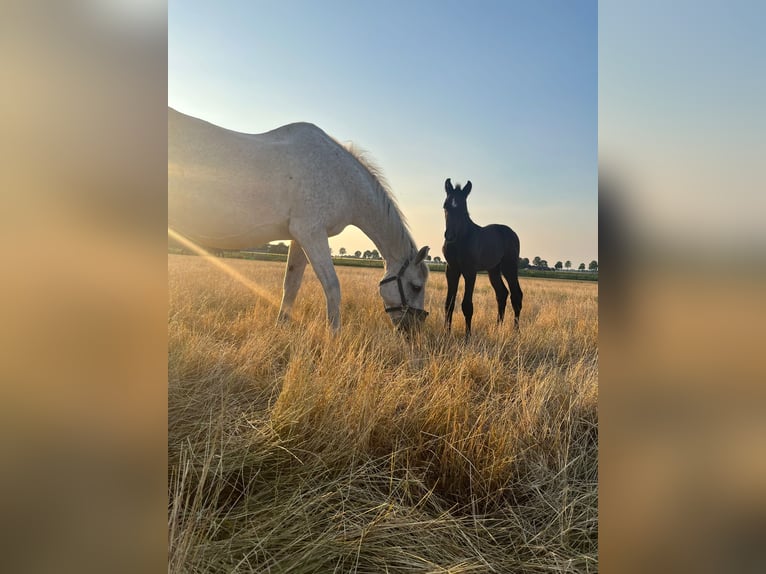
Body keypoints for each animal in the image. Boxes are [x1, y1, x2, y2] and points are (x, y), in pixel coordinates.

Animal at [170, 109, 432, 332]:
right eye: (416, 286)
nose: (413, 330)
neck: (340, 177)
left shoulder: (298, 238)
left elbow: (291, 285)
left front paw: (281, 328)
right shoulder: (311, 233)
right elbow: (332, 286)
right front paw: (334, 337)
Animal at [440, 178, 524, 336]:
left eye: (463, 208)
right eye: (445, 206)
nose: (450, 236)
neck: (461, 240)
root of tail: (511, 232)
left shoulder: (470, 272)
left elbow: (467, 305)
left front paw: (467, 337)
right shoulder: (452, 270)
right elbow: (449, 303)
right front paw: (446, 334)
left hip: (509, 267)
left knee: (516, 295)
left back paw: (516, 331)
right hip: (493, 270)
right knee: (502, 294)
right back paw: (498, 328)